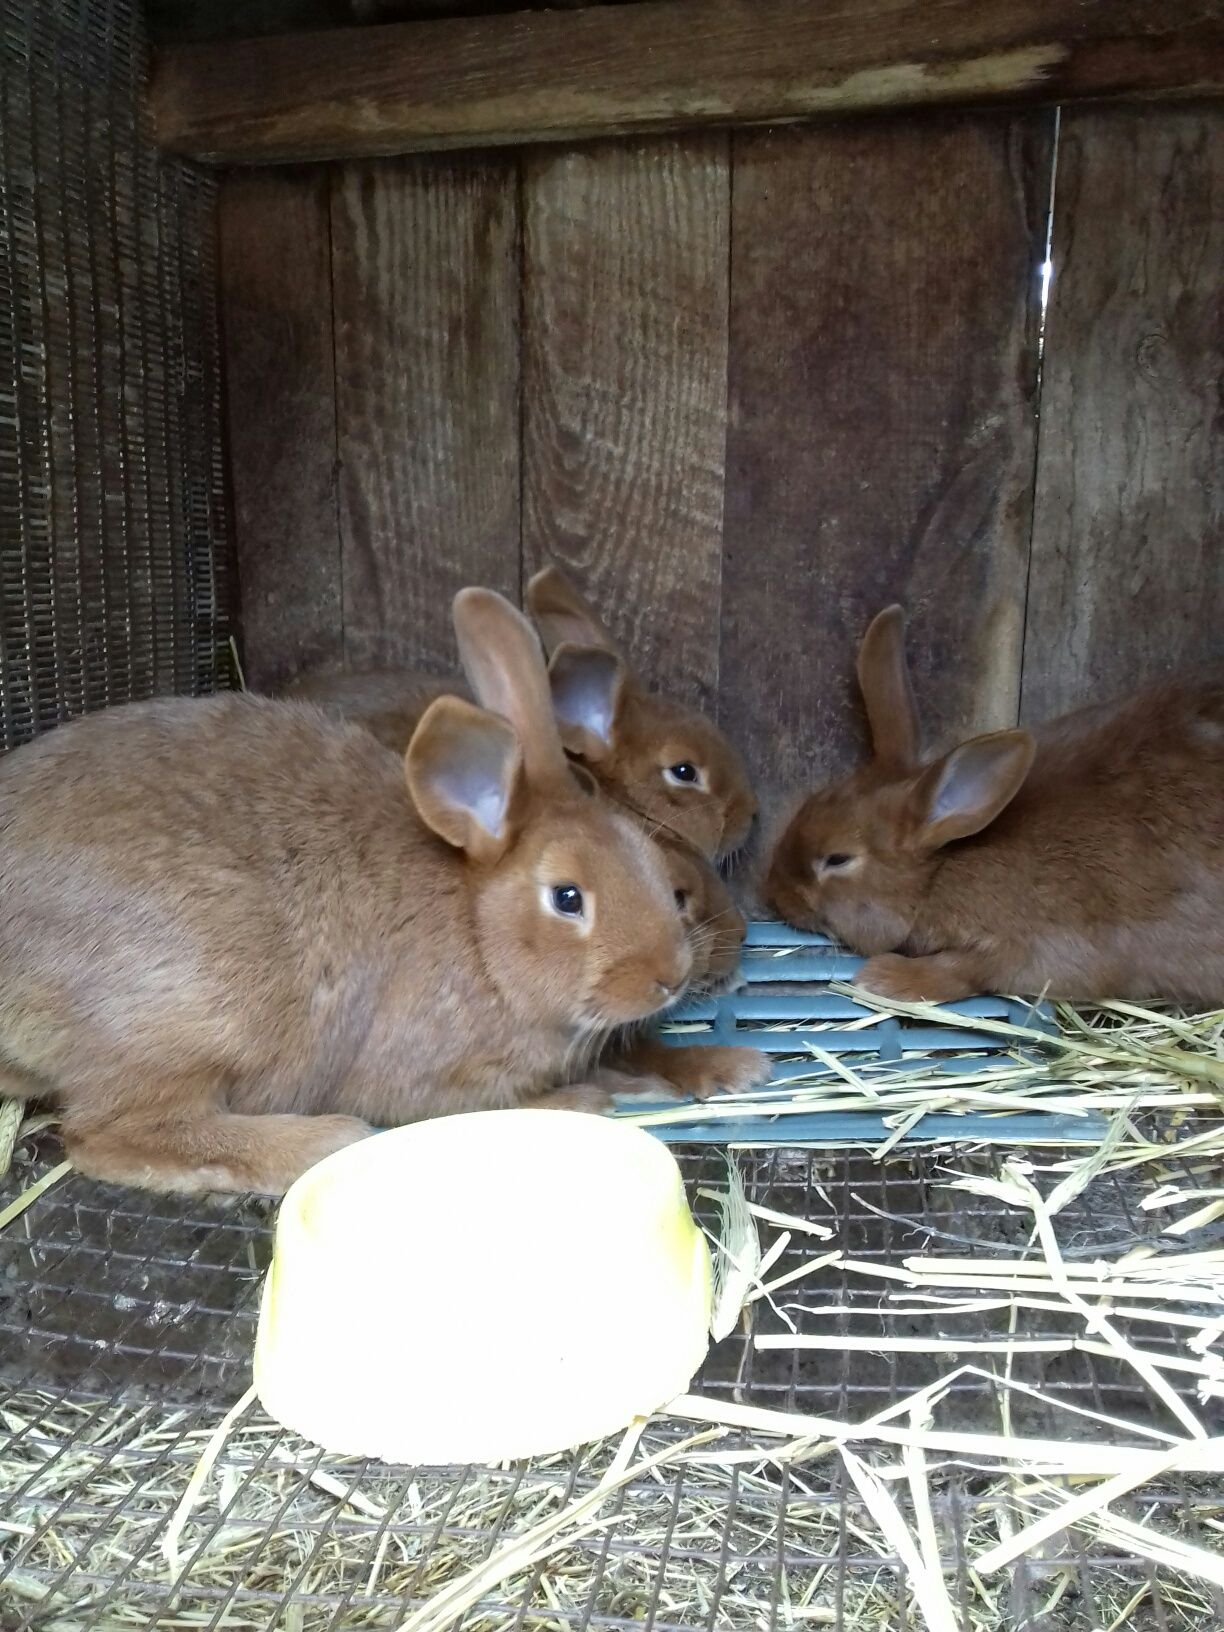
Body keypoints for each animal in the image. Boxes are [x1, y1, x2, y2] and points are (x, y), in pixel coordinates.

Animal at [0, 590, 708, 1201]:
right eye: (567, 898)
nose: (670, 977)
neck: (480, 933)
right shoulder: (425, 1077)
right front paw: (585, 1101)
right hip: (190, 1014)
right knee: (109, 1134)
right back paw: (318, 1141)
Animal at [767, 603, 1224, 1005]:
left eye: (837, 859)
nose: (775, 894)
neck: (940, 870)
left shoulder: (1035, 948)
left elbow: (965, 969)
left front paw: (885, 978)